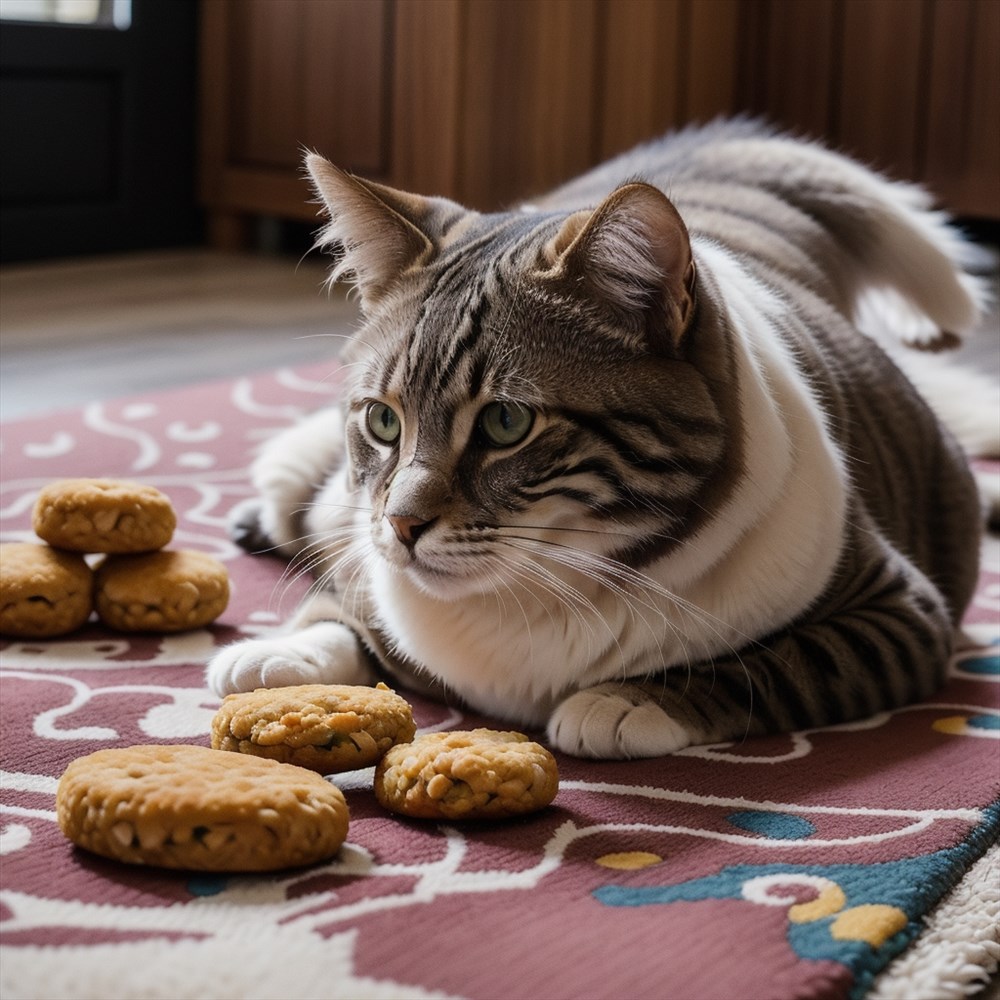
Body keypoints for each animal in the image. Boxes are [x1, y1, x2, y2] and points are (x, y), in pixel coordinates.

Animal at [205, 117, 992, 756]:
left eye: (506, 423)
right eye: (382, 419)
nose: (401, 526)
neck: (541, 587)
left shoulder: (901, 612)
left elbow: (780, 663)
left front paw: (629, 701)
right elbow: (344, 613)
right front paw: (288, 655)